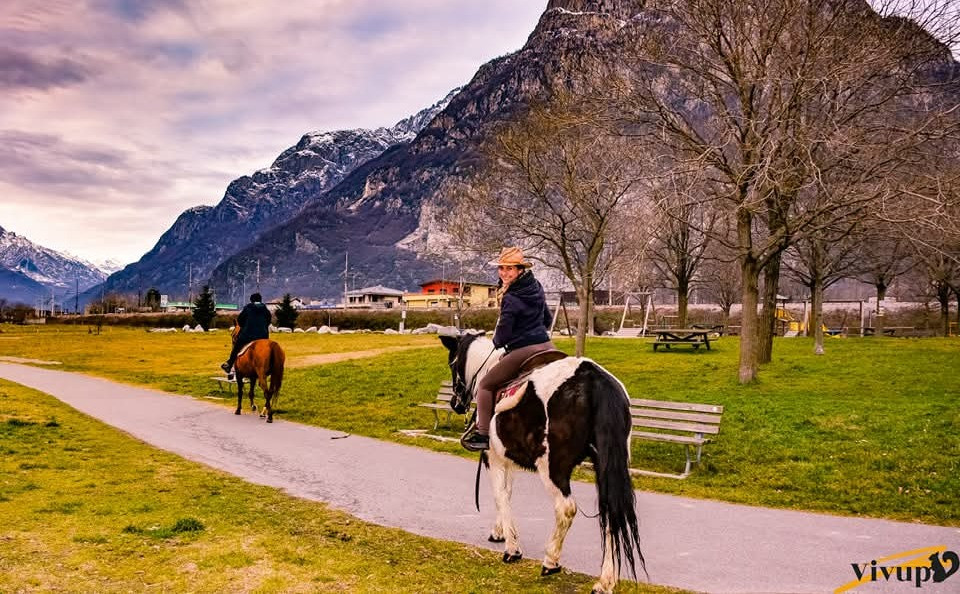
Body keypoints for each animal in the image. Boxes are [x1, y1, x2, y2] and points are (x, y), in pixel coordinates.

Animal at [439, 332, 644, 594]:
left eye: (452, 364)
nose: (455, 404)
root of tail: (594, 380)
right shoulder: (508, 458)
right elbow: (507, 493)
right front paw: (501, 532)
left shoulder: (493, 458)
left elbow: (500, 495)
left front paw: (512, 548)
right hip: (607, 466)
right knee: (611, 514)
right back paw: (605, 581)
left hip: (552, 467)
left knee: (566, 508)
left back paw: (551, 561)